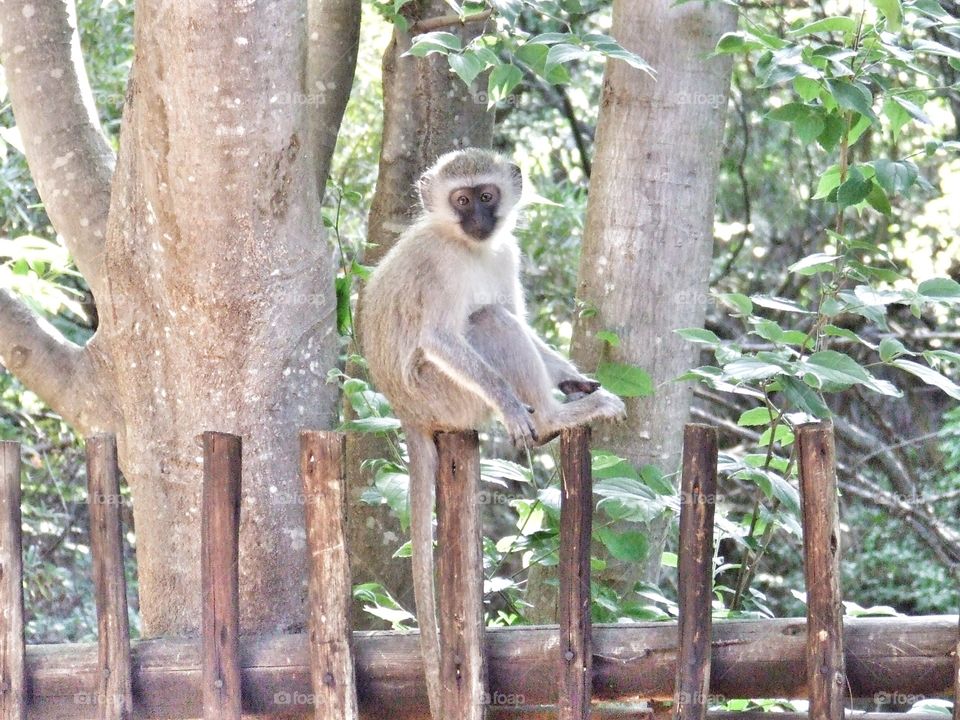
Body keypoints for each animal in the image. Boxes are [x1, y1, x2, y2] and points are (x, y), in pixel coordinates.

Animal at [360, 148, 625, 718]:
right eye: (461, 200)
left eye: (487, 195)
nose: (480, 219)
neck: (468, 246)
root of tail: (407, 411)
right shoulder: (436, 266)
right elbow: (440, 336)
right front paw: (514, 401)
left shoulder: (506, 253)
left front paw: (572, 376)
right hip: (444, 396)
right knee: (486, 320)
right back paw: (552, 419)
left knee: (497, 314)